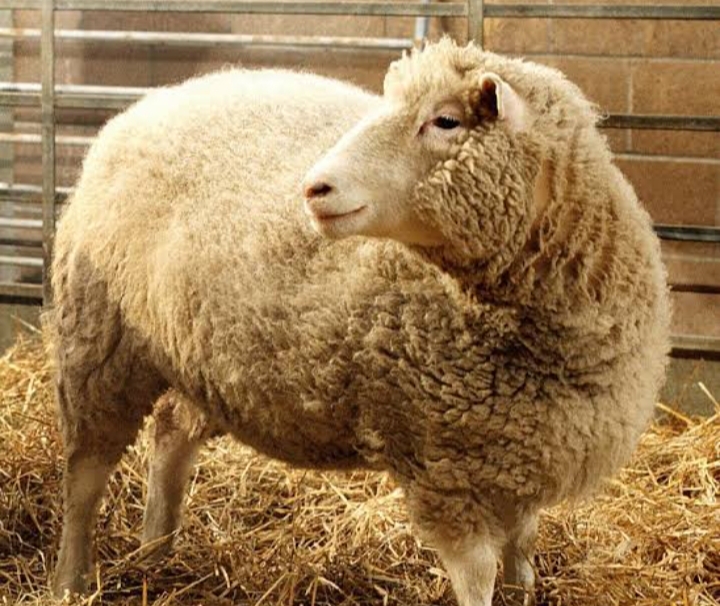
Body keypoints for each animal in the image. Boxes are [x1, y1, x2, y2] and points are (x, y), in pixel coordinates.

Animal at [48, 39, 670, 606]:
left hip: (201, 354)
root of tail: (147, 105)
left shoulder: (521, 456)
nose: (313, 188)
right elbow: (478, 577)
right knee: (84, 476)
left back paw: (157, 552)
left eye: (445, 120)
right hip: (100, 340)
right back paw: (70, 579)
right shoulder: (444, 469)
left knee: (171, 435)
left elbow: (522, 554)